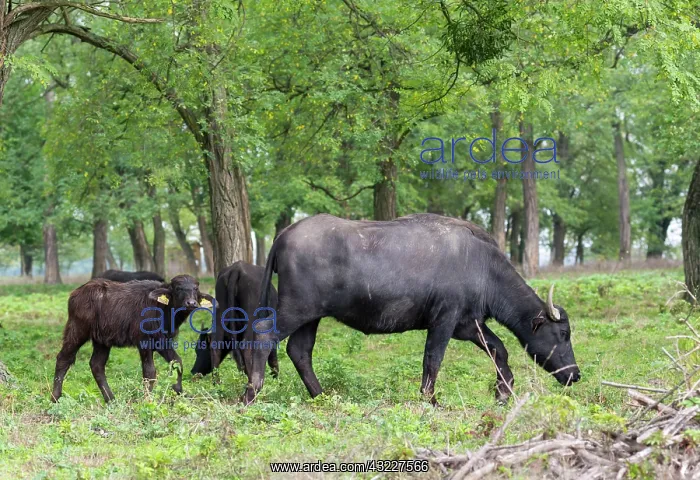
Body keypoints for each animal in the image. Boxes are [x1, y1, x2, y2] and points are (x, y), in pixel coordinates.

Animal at [51, 275, 215, 402]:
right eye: (178, 288)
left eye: (195, 288)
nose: (191, 303)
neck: (162, 308)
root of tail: (76, 293)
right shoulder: (144, 343)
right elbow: (149, 372)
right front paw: (147, 399)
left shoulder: (162, 342)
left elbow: (177, 362)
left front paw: (179, 391)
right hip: (77, 330)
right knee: (64, 358)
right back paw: (55, 398)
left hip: (102, 340)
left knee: (96, 365)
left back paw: (111, 399)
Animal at [244, 213, 580, 404]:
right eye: (562, 333)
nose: (575, 374)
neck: (483, 266)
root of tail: (285, 233)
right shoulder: (444, 321)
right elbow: (433, 359)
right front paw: (431, 400)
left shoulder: (467, 324)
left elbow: (499, 350)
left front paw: (503, 391)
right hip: (296, 309)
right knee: (263, 334)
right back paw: (251, 392)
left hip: (311, 316)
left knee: (299, 350)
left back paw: (323, 396)